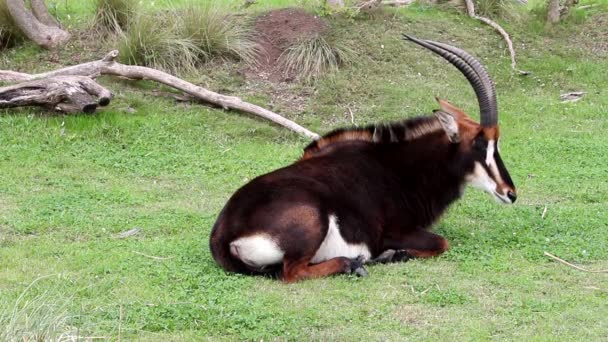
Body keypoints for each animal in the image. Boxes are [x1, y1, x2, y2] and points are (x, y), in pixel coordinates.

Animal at [210, 34, 516, 282]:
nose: (510, 193)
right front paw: (392, 254)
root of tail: (223, 236)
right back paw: (352, 264)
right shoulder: (392, 232)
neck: (402, 167)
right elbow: (442, 242)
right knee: (292, 273)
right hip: (312, 219)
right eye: (481, 144)